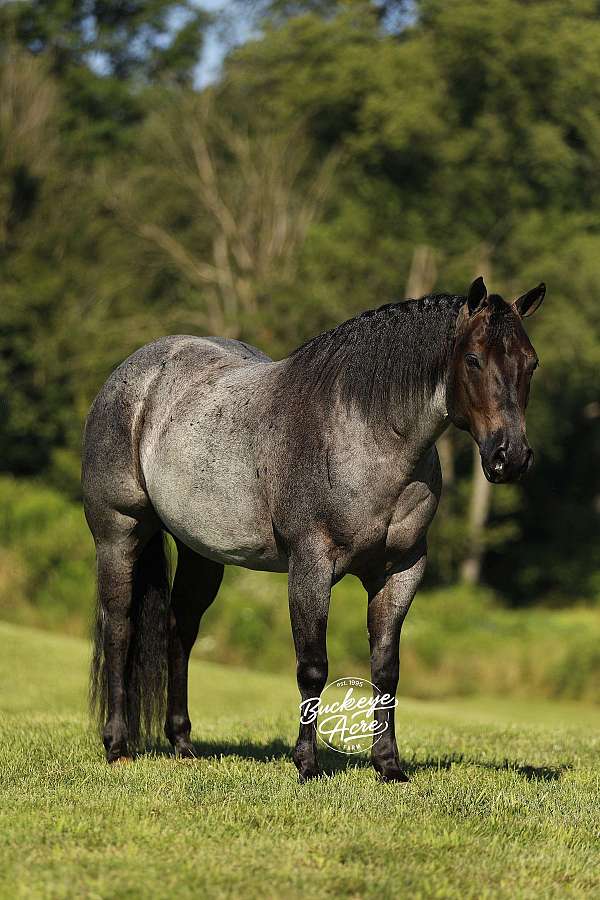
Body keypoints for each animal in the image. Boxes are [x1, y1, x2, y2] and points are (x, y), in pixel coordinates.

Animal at [82, 275, 545, 782]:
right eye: (474, 359)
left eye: (530, 362)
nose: (511, 457)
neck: (364, 436)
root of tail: (134, 371)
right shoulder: (311, 567)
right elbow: (313, 667)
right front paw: (306, 764)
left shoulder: (401, 571)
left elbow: (386, 669)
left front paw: (389, 766)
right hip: (119, 533)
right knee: (120, 627)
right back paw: (117, 746)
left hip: (200, 552)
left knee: (179, 629)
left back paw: (183, 744)